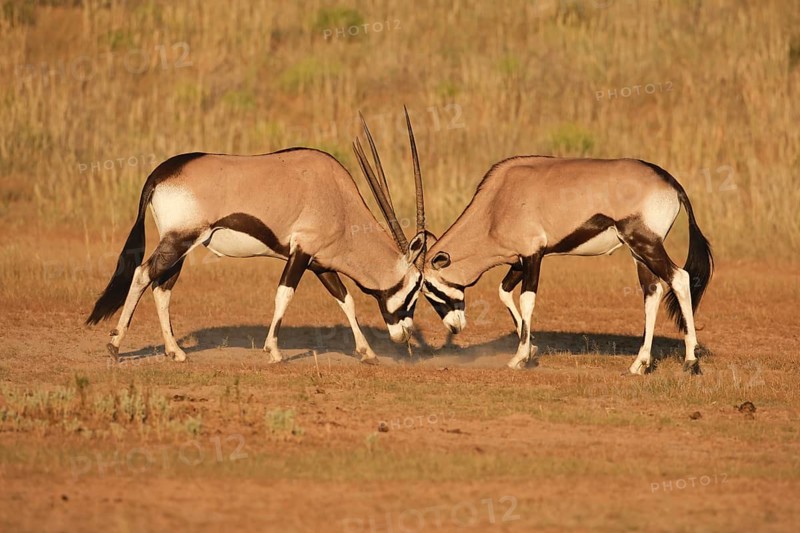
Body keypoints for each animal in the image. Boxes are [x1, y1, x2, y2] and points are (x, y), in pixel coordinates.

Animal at [86, 114, 427, 364]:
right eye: (415, 288)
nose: (405, 335)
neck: (340, 201)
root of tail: (160, 173)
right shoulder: (301, 253)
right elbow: (284, 294)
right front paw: (273, 351)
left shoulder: (319, 263)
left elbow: (346, 300)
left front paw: (367, 352)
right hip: (179, 241)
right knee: (142, 274)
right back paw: (115, 345)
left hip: (180, 247)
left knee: (161, 287)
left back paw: (175, 351)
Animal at [421, 156, 713, 374]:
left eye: (427, 287)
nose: (454, 327)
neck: (496, 204)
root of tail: (671, 183)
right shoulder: (519, 260)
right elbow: (503, 292)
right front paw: (531, 349)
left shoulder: (533, 255)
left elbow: (527, 299)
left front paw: (519, 357)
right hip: (638, 253)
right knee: (652, 292)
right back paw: (639, 363)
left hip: (646, 244)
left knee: (679, 278)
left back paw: (691, 360)